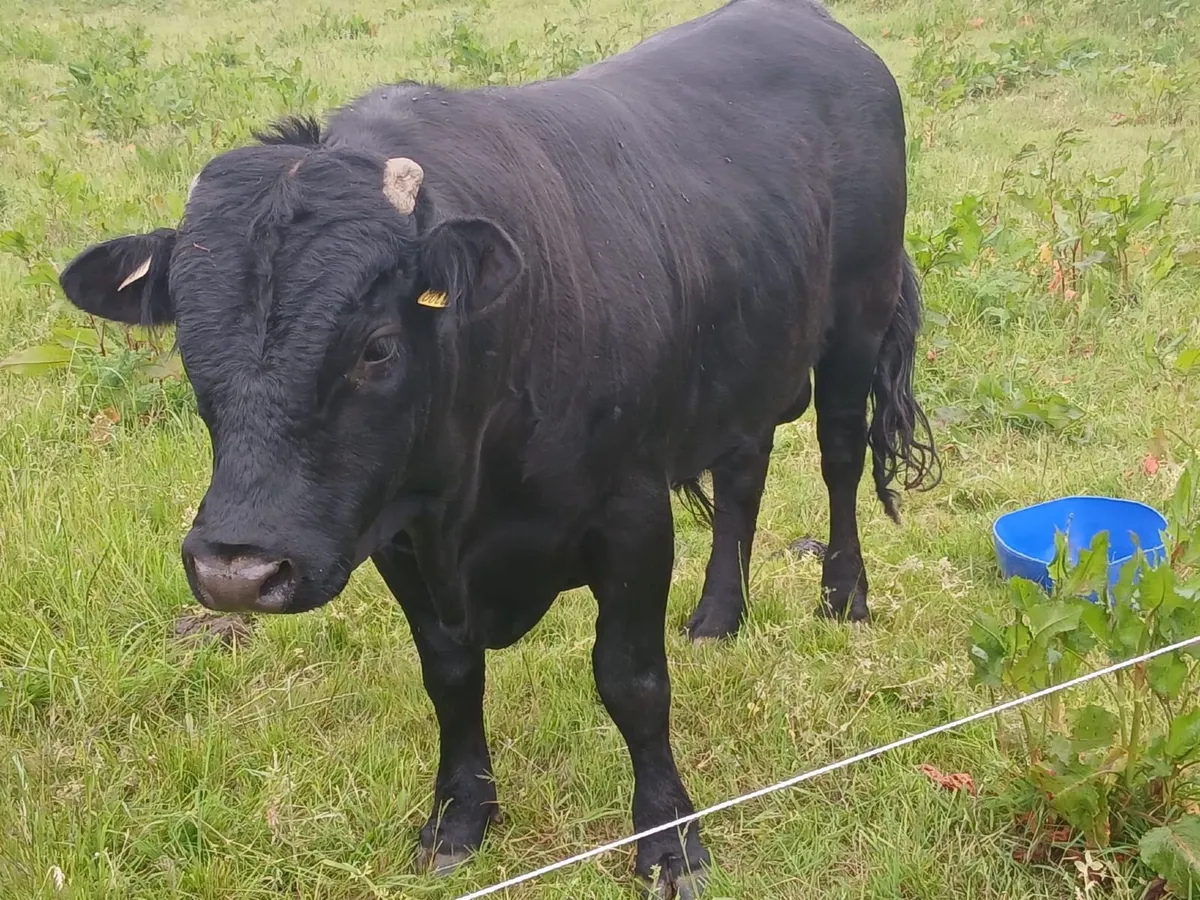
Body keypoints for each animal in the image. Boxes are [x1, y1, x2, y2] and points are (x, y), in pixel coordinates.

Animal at [57, 0, 939, 894]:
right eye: (188, 343)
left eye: (376, 347)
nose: (237, 571)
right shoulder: (395, 532)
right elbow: (449, 675)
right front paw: (458, 817)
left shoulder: (631, 513)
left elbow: (631, 682)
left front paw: (670, 839)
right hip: (747, 354)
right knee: (743, 474)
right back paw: (718, 616)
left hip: (855, 323)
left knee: (839, 456)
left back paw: (844, 596)